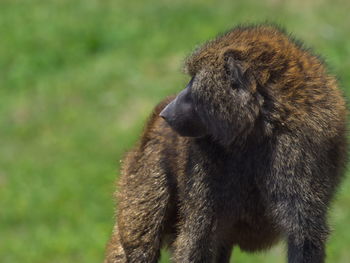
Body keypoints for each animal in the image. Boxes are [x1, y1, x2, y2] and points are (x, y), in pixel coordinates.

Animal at [104, 23, 348, 262]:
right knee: (141, 247)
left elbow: (303, 236)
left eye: (194, 81)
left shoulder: (298, 149)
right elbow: (196, 240)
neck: (258, 127)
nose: (167, 111)